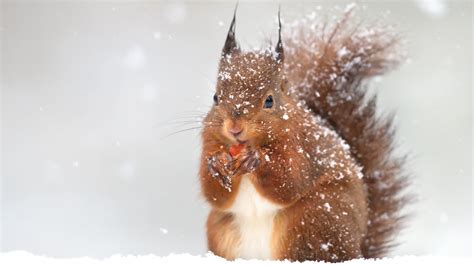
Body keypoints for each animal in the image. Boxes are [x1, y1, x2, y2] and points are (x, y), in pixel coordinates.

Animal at [198, 6, 410, 262]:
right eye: (216, 97)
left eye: (269, 100)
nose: (234, 128)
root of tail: (358, 250)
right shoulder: (209, 141)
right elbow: (214, 194)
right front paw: (217, 164)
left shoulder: (302, 145)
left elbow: (290, 180)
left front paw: (256, 159)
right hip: (222, 230)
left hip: (311, 219)